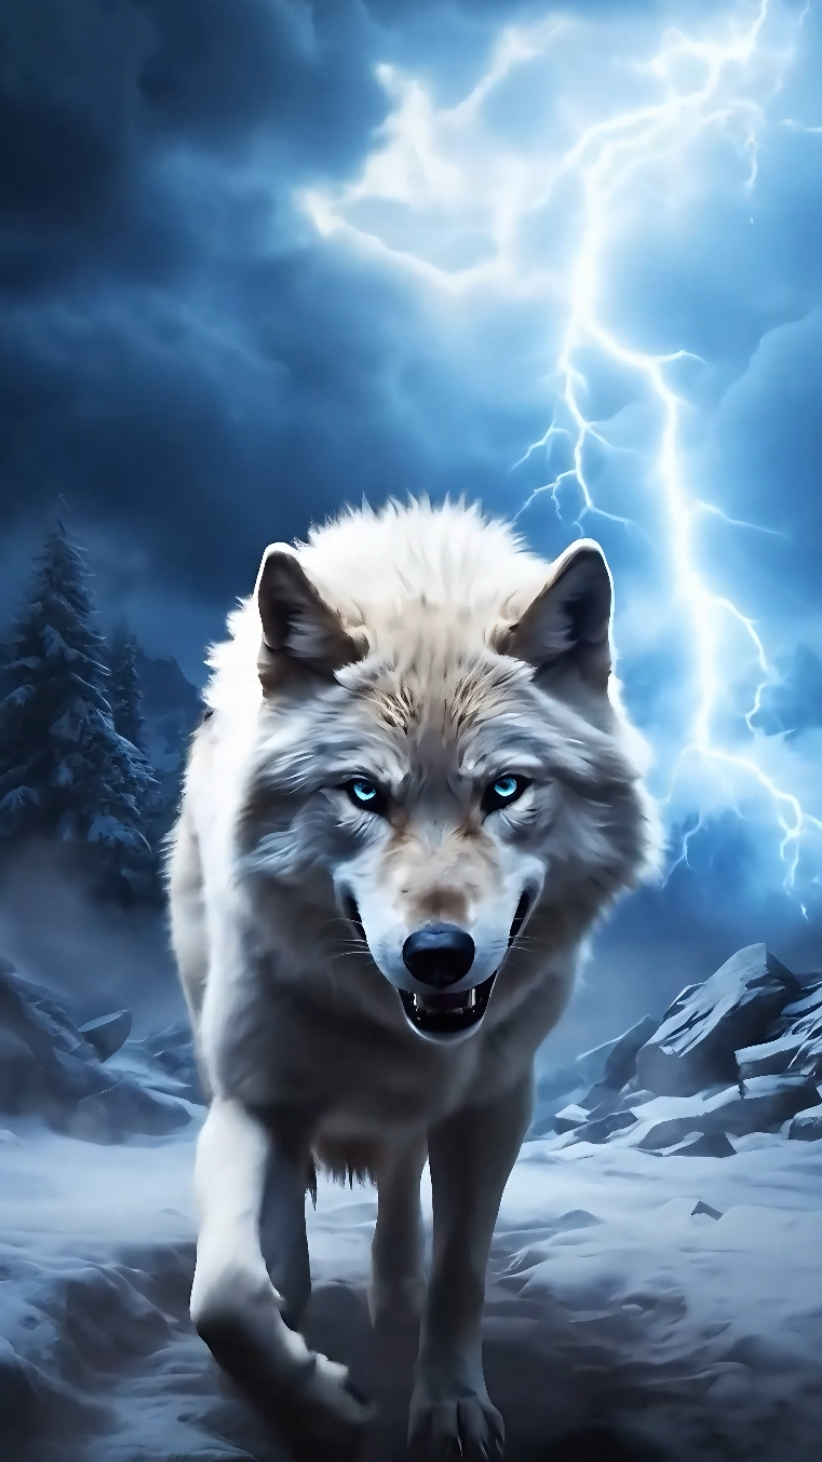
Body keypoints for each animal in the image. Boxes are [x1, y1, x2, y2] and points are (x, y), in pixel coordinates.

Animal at [167, 498, 659, 1461]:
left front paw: (450, 1407)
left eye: (505, 789)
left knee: (399, 1185)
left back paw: (392, 1295)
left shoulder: (494, 1105)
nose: (439, 953)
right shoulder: (254, 1096)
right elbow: (225, 1300)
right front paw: (318, 1406)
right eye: (364, 793)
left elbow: (460, 1271)